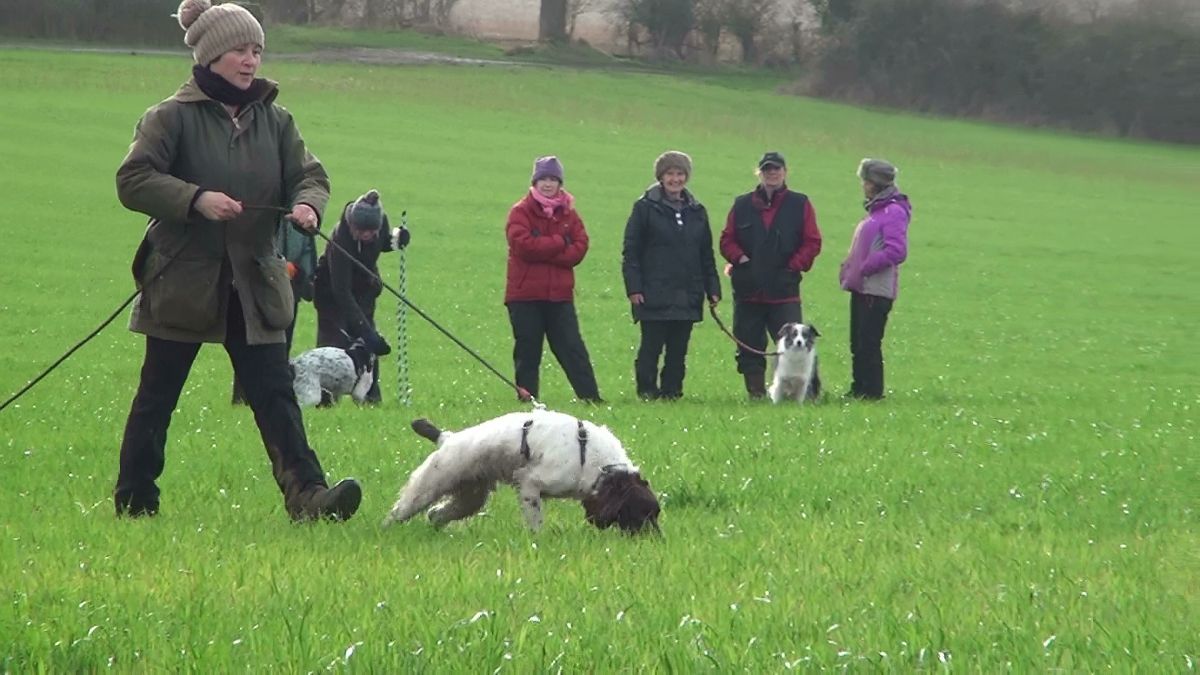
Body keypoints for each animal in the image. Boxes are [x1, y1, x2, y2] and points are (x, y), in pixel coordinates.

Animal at [384, 408, 662, 533]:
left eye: (655, 513)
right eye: (642, 514)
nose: (657, 539)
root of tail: (447, 437)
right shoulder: (530, 483)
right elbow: (535, 523)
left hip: (470, 497)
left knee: (435, 514)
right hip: (429, 485)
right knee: (399, 512)